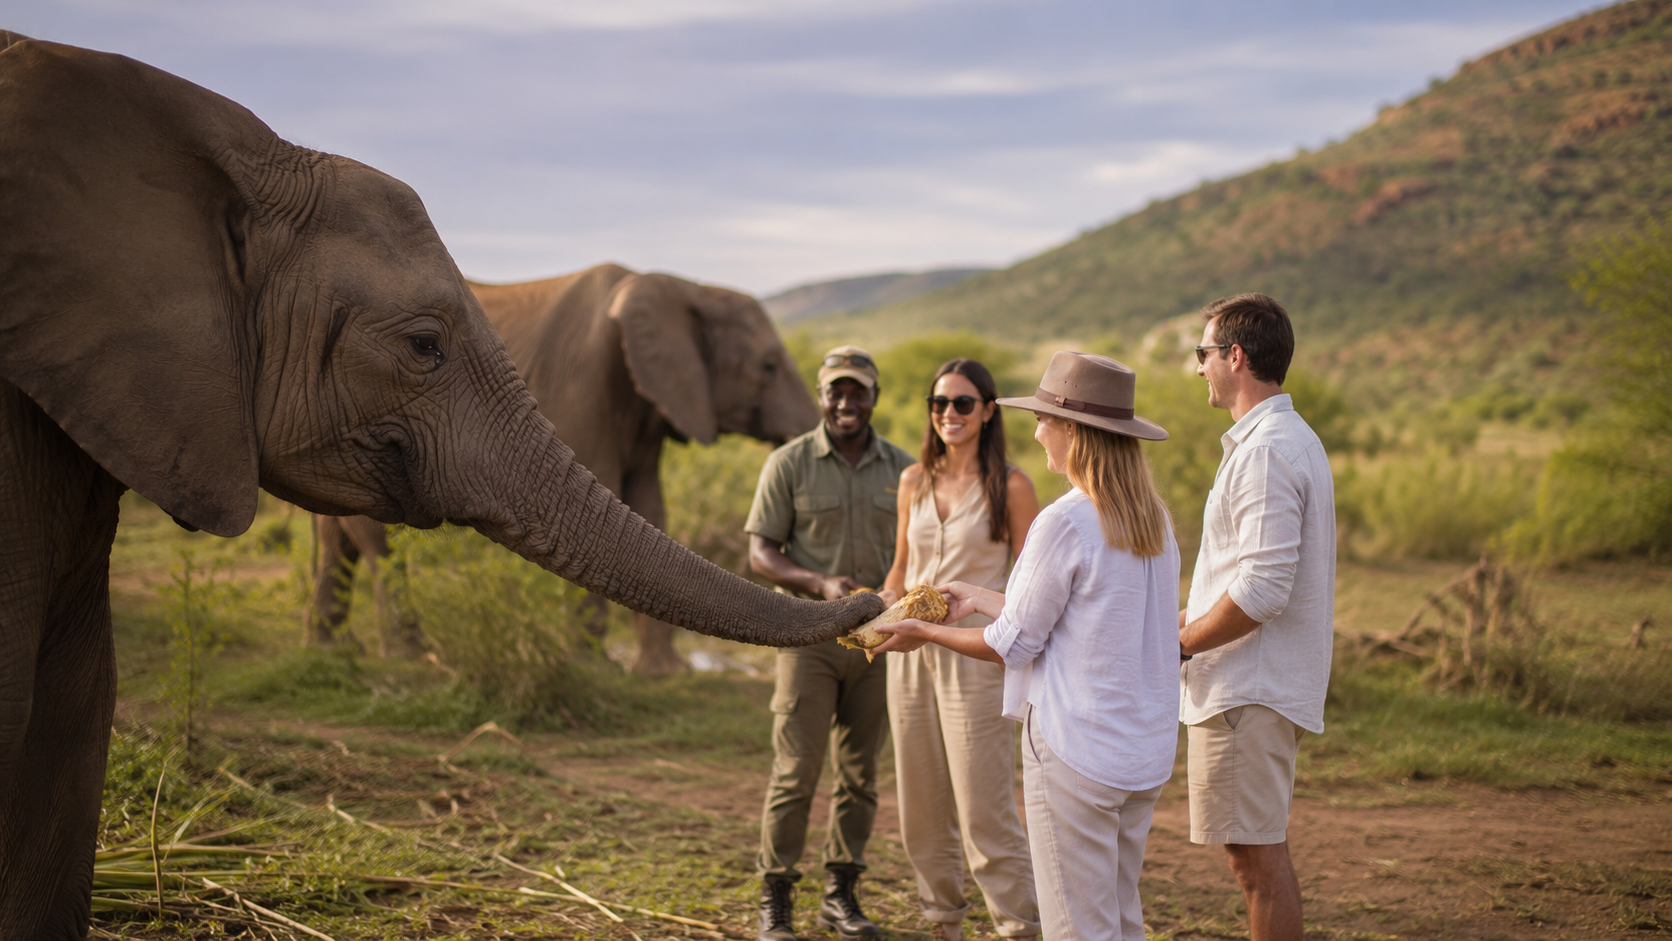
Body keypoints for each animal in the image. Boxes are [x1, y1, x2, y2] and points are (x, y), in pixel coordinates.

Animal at [312, 265, 819, 675]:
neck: (682, 286)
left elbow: (649, 504)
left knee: (335, 534)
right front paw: (595, 668)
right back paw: (413, 658)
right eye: (769, 366)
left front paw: (664, 674)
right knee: (373, 536)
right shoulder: (585, 383)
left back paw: (332, 650)